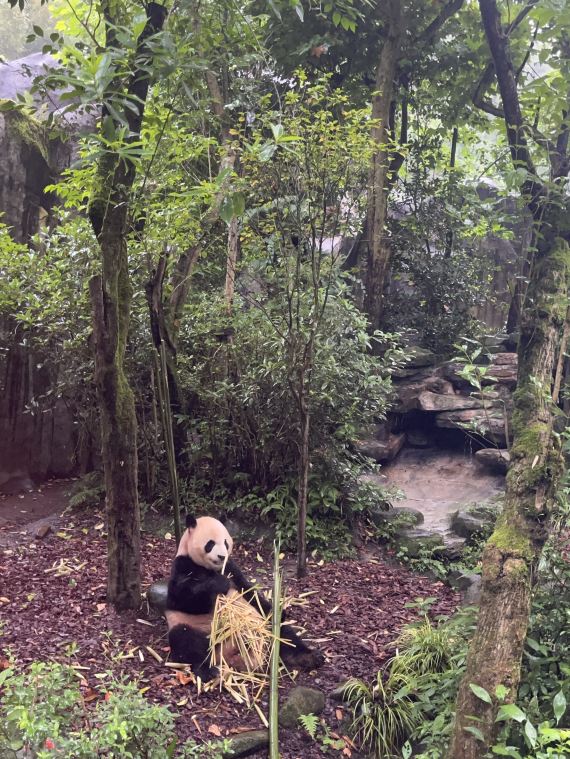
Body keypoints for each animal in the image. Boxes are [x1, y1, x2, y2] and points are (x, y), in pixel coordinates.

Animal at [165, 514, 324, 681]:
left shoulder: (231, 568)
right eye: (210, 543)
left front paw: (276, 611)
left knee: (284, 635)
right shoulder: (183, 566)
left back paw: (310, 657)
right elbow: (182, 598)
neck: (211, 568)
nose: (221, 556)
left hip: (264, 628)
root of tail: (228, 654)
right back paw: (207, 671)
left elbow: (248, 591)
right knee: (186, 640)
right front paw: (219, 583)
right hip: (196, 627)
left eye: (226, 543)